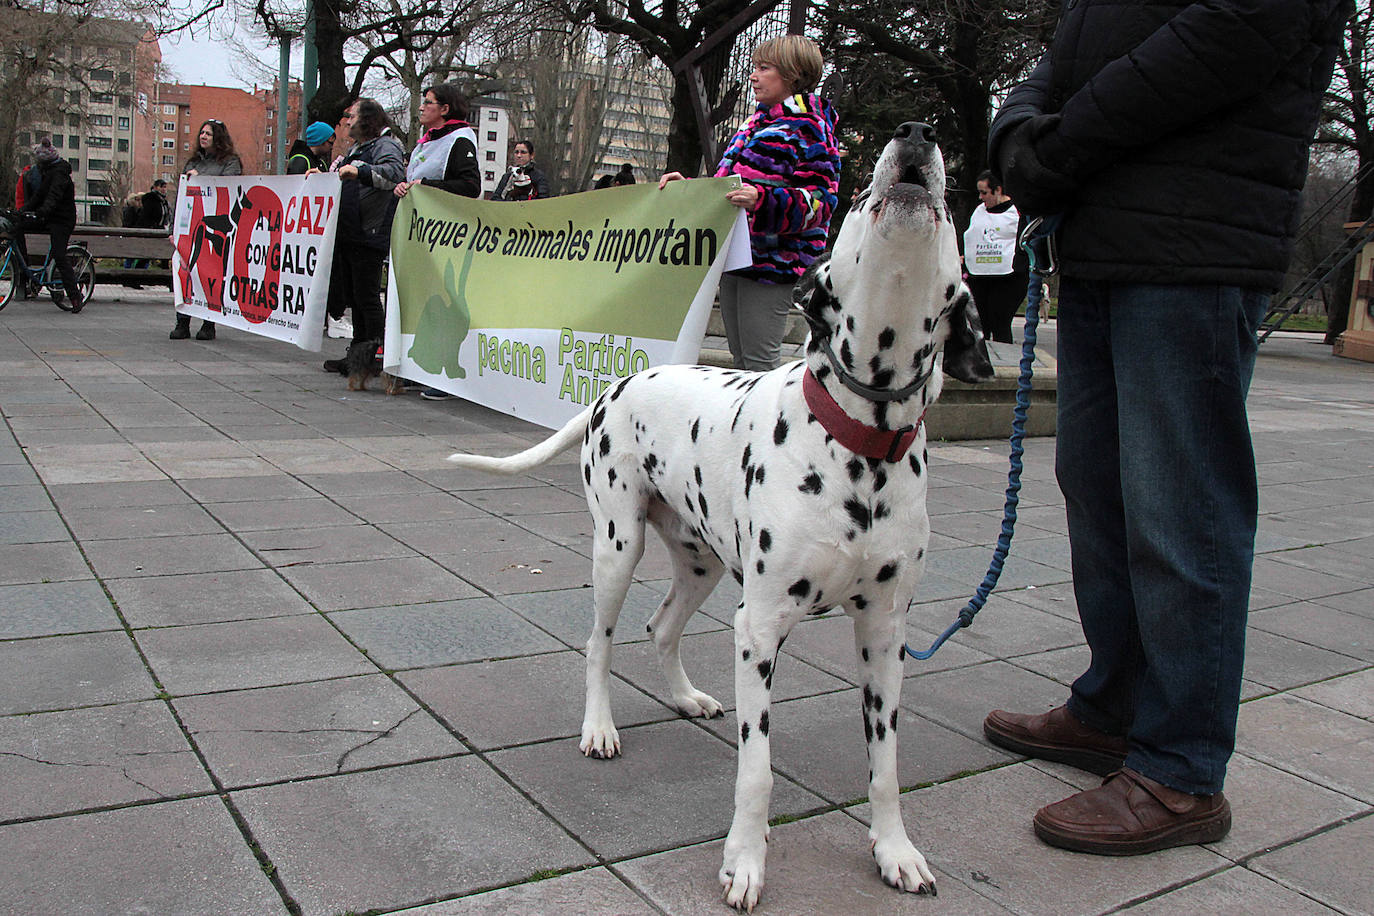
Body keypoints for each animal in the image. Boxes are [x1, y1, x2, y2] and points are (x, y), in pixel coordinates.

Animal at [445, 121, 994, 911]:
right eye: (861, 198)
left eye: (949, 211)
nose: (916, 135)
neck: (861, 443)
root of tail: (618, 383)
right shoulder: (759, 627)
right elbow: (756, 768)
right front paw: (744, 861)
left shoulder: (885, 634)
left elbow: (886, 764)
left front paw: (895, 850)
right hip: (617, 548)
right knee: (600, 642)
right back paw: (599, 727)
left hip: (702, 564)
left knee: (660, 627)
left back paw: (683, 697)